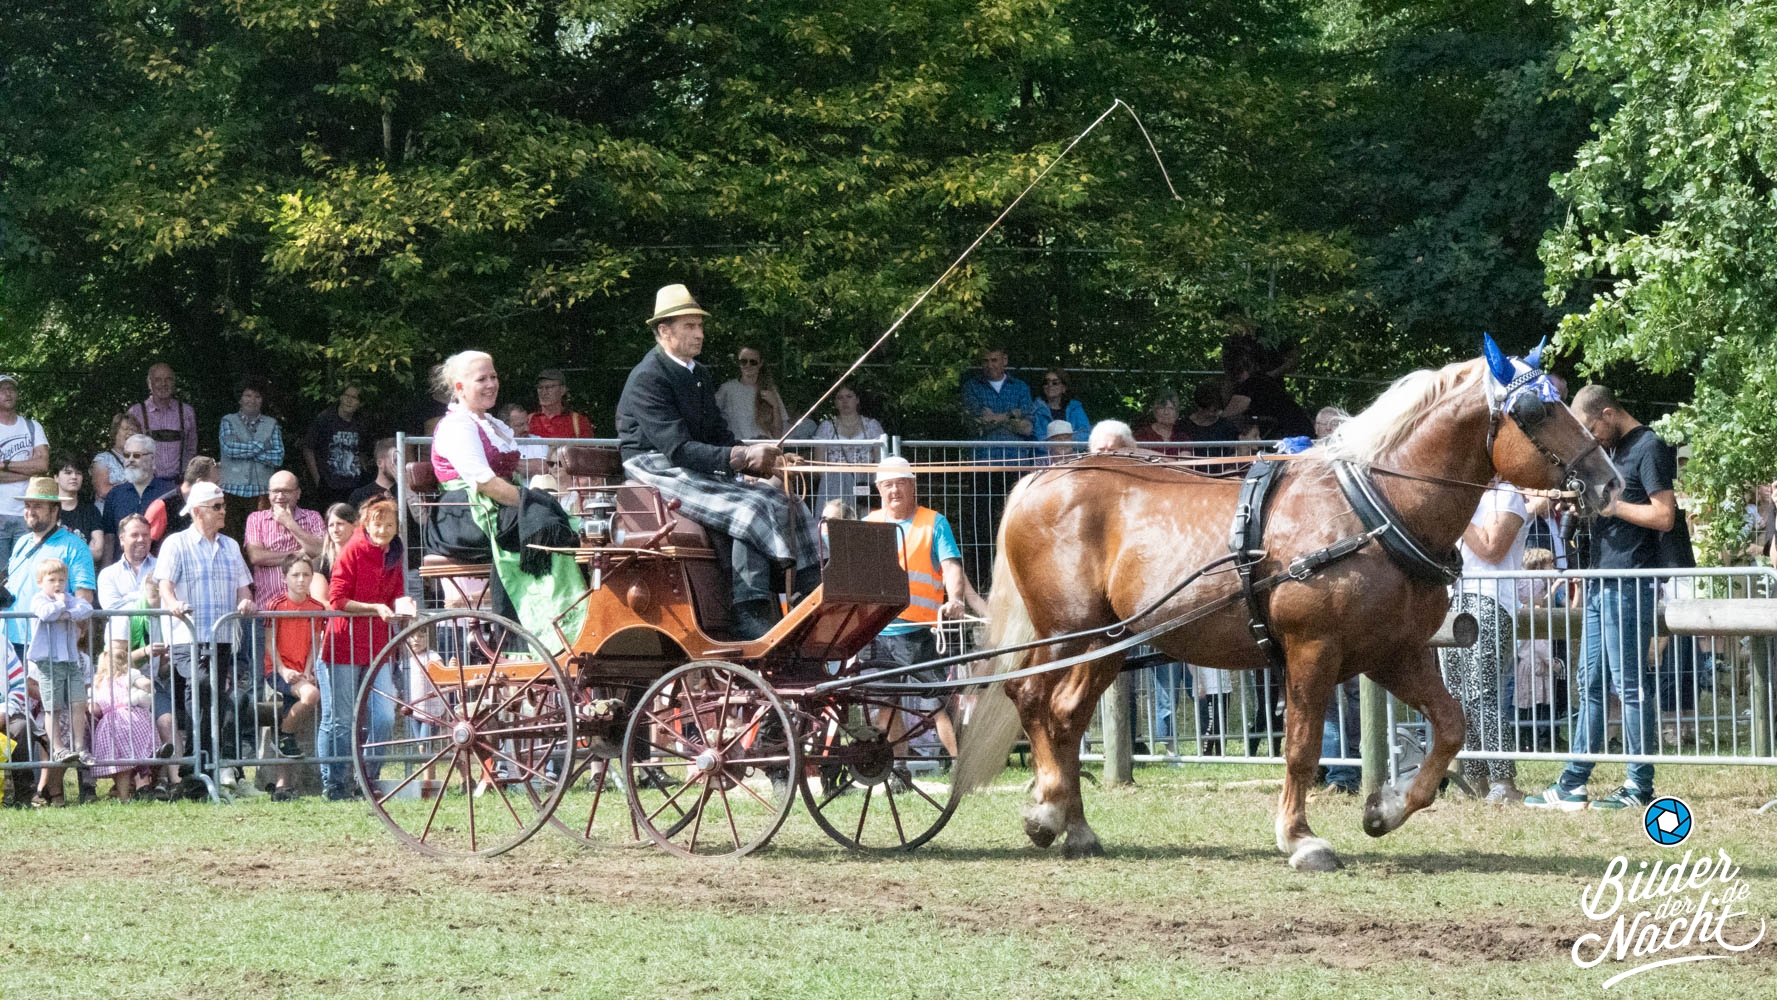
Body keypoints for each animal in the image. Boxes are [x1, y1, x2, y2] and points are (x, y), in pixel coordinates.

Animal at [953, 338, 1623, 870]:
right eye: (1537, 409)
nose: (1610, 482)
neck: (1376, 511)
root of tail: (1042, 477)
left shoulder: (1395, 653)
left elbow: (1453, 725)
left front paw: (1385, 809)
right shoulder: (1312, 651)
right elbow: (1301, 748)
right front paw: (1301, 839)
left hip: (1109, 642)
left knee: (1066, 715)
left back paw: (1076, 827)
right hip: (1065, 631)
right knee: (1031, 698)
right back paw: (1045, 811)